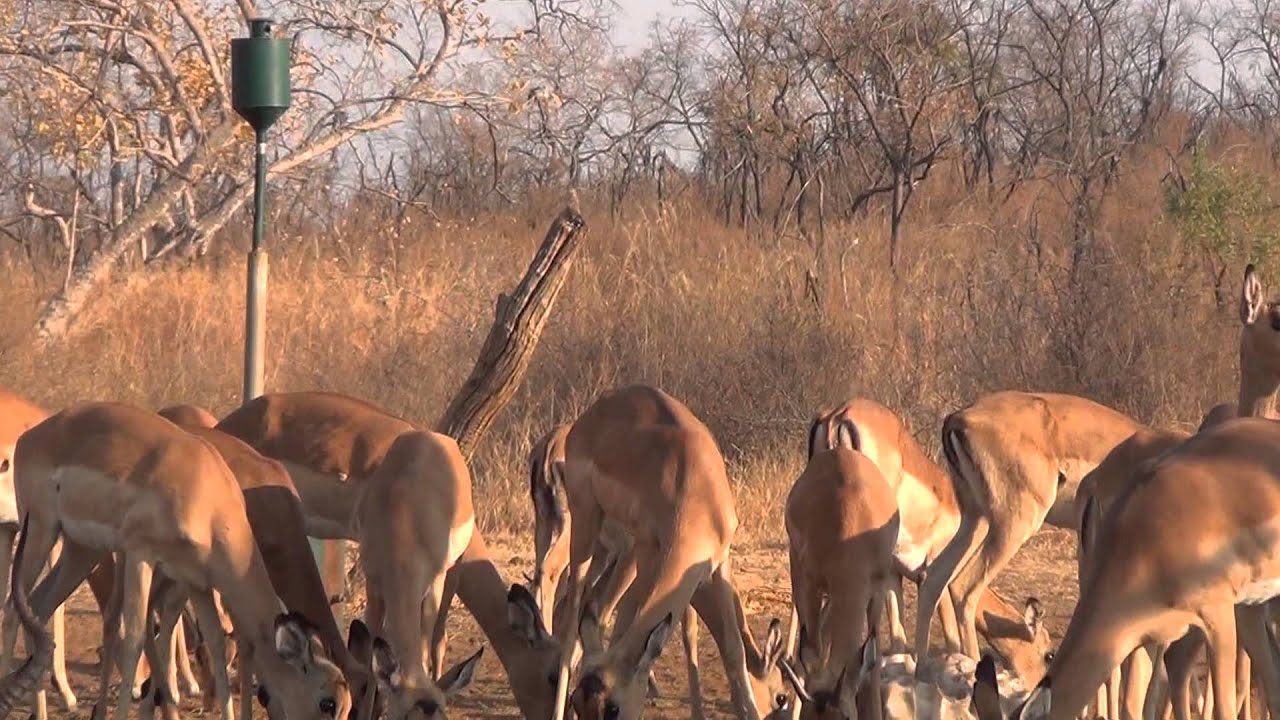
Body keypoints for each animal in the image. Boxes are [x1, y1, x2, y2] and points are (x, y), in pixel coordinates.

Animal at [1, 400, 353, 720]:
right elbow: (135, 640)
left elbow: (216, 643)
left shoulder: (198, 582)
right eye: (327, 702)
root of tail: (33, 434)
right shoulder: (140, 554)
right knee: (12, 611)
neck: (208, 494)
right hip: (41, 529)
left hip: (81, 551)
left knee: (38, 607)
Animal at [548, 384, 788, 720]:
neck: (691, 485)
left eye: (612, 708)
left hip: (614, 552)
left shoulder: (716, 563)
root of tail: (593, 413)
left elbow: (729, 648)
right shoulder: (650, 553)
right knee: (574, 620)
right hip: (587, 524)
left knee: (591, 612)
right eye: (781, 697)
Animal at [808, 400, 1054, 685]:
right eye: (1048, 654)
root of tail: (840, 413)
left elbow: (899, 641)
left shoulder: (894, 575)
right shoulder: (936, 578)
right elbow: (951, 639)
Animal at [913, 391, 1140, 680]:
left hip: (976, 519)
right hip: (1015, 524)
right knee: (963, 587)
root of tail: (958, 418)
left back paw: (921, 673)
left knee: (933, 578)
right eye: (1049, 655)